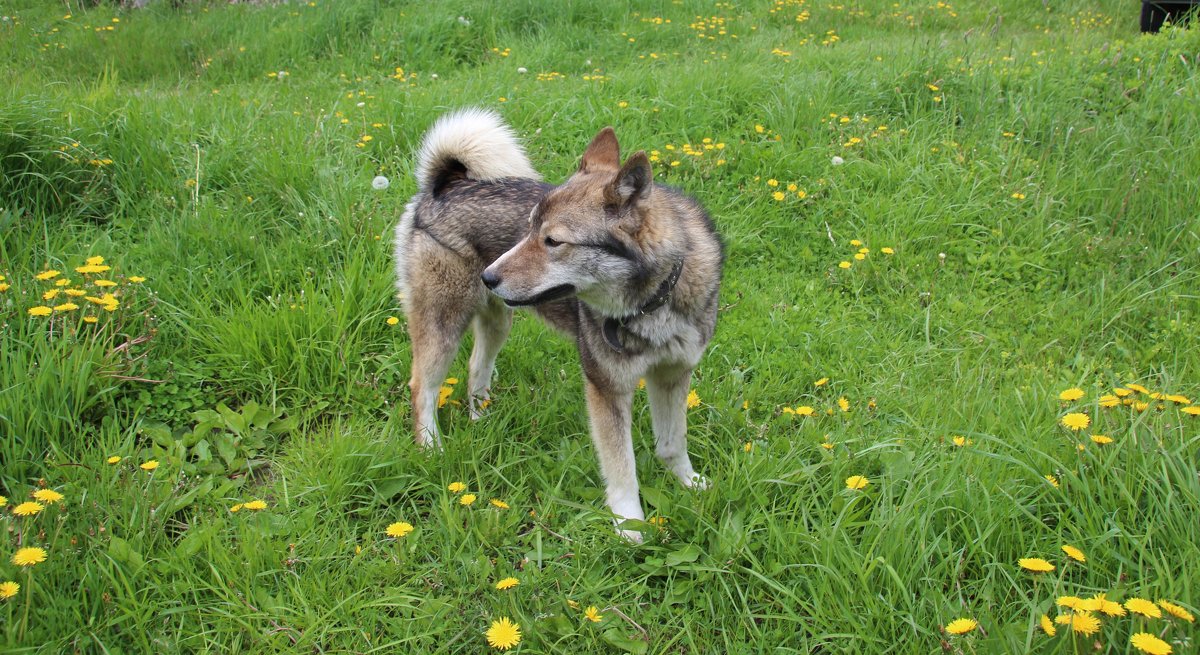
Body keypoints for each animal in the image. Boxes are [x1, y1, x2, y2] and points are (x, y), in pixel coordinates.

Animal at [398, 108, 724, 539]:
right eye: (529, 230)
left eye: (552, 241)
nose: (489, 276)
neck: (653, 301)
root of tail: (445, 184)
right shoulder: (607, 388)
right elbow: (622, 467)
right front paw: (629, 525)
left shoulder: (673, 374)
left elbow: (673, 444)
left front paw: (690, 484)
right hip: (443, 323)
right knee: (423, 387)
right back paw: (431, 448)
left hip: (498, 321)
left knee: (475, 366)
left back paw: (481, 417)